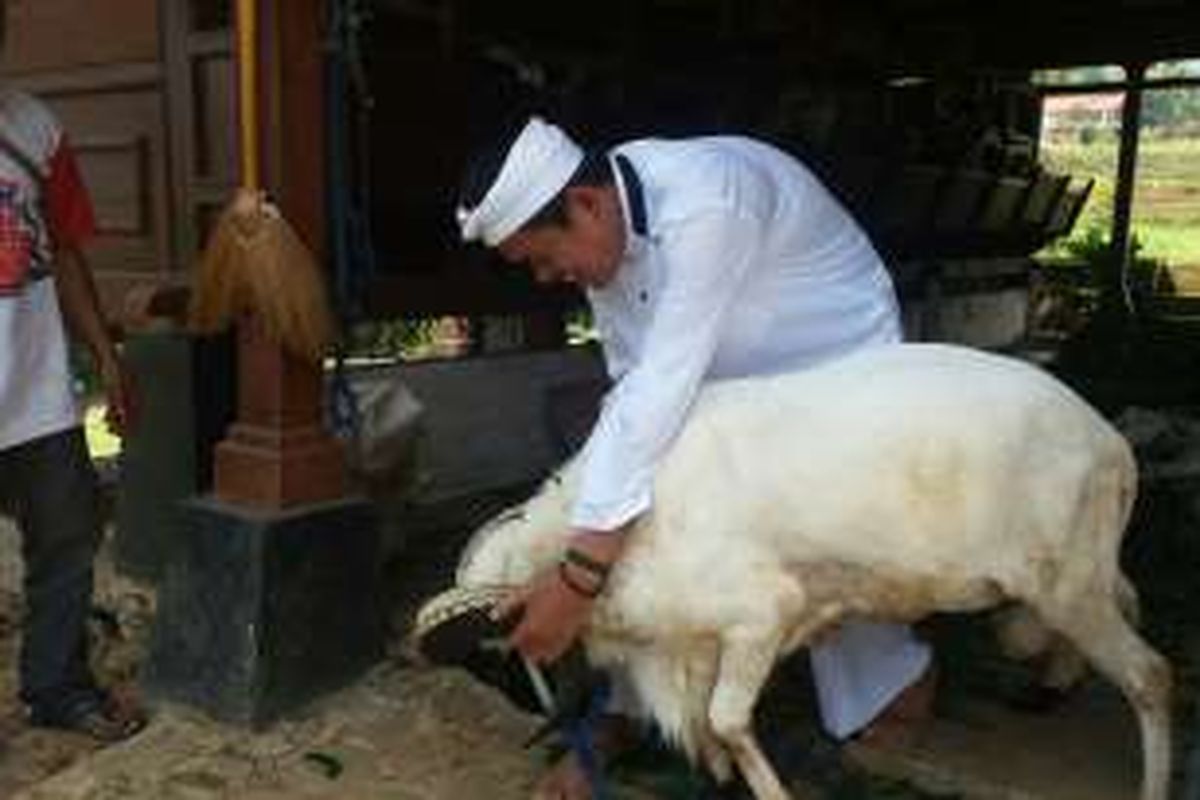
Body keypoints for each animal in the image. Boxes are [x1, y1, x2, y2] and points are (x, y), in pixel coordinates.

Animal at [446, 343, 1166, 800]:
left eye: (504, 643)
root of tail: (1111, 444)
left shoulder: (760, 613)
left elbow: (725, 719)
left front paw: (764, 788)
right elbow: (709, 726)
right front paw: (717, 774)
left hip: (1064, 585)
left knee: (1151, 676)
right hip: (1084, 573)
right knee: (1122, 602)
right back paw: (1054, 679)